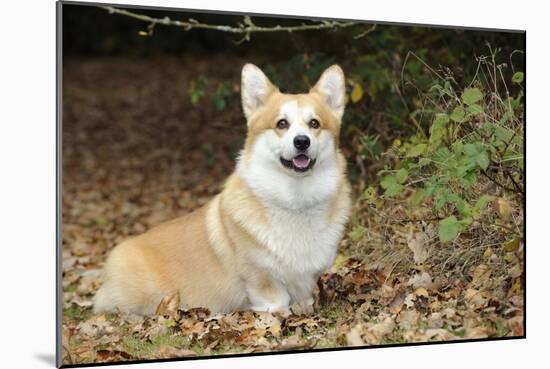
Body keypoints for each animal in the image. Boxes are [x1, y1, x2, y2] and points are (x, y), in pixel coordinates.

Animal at [94, 62, 354, 314]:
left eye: (314, 124)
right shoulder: (261, 278)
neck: (295, 198)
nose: (302, 141)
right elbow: (276, 305)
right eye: (282, 124)